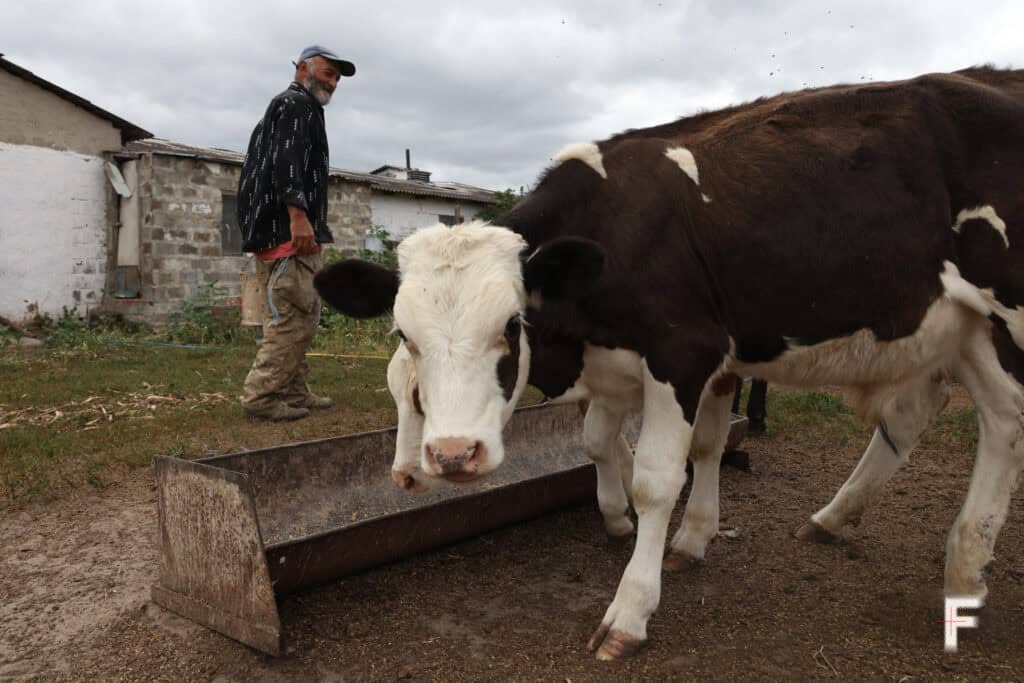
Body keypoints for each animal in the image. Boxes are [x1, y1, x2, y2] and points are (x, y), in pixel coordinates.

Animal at [313, 66, 1024, 659]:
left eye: (511, 326)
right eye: (405, 336)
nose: (448, 458)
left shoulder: (685, 352)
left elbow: (661, 477)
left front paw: (631, 607)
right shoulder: (643, 364)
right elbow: (613, 442)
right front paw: (638, 521)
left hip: (1005, 319)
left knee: (1005, 422)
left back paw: (965, 566)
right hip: (958, 331)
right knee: (927, 415)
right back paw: (843, 521)